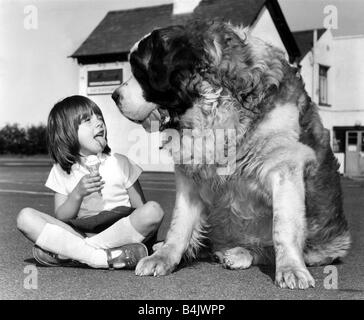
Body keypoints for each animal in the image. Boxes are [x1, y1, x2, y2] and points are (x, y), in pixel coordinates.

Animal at [112, 21, 352, 288]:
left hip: (325, 245)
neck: (216, 105)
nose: (114, 96)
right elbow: (179, 223)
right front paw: (164, 257)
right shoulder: (190, 177)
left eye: (140, 71)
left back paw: (240, 253)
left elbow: (284, 227)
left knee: (272, 248)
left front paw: (291, 268)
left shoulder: (284, 167)